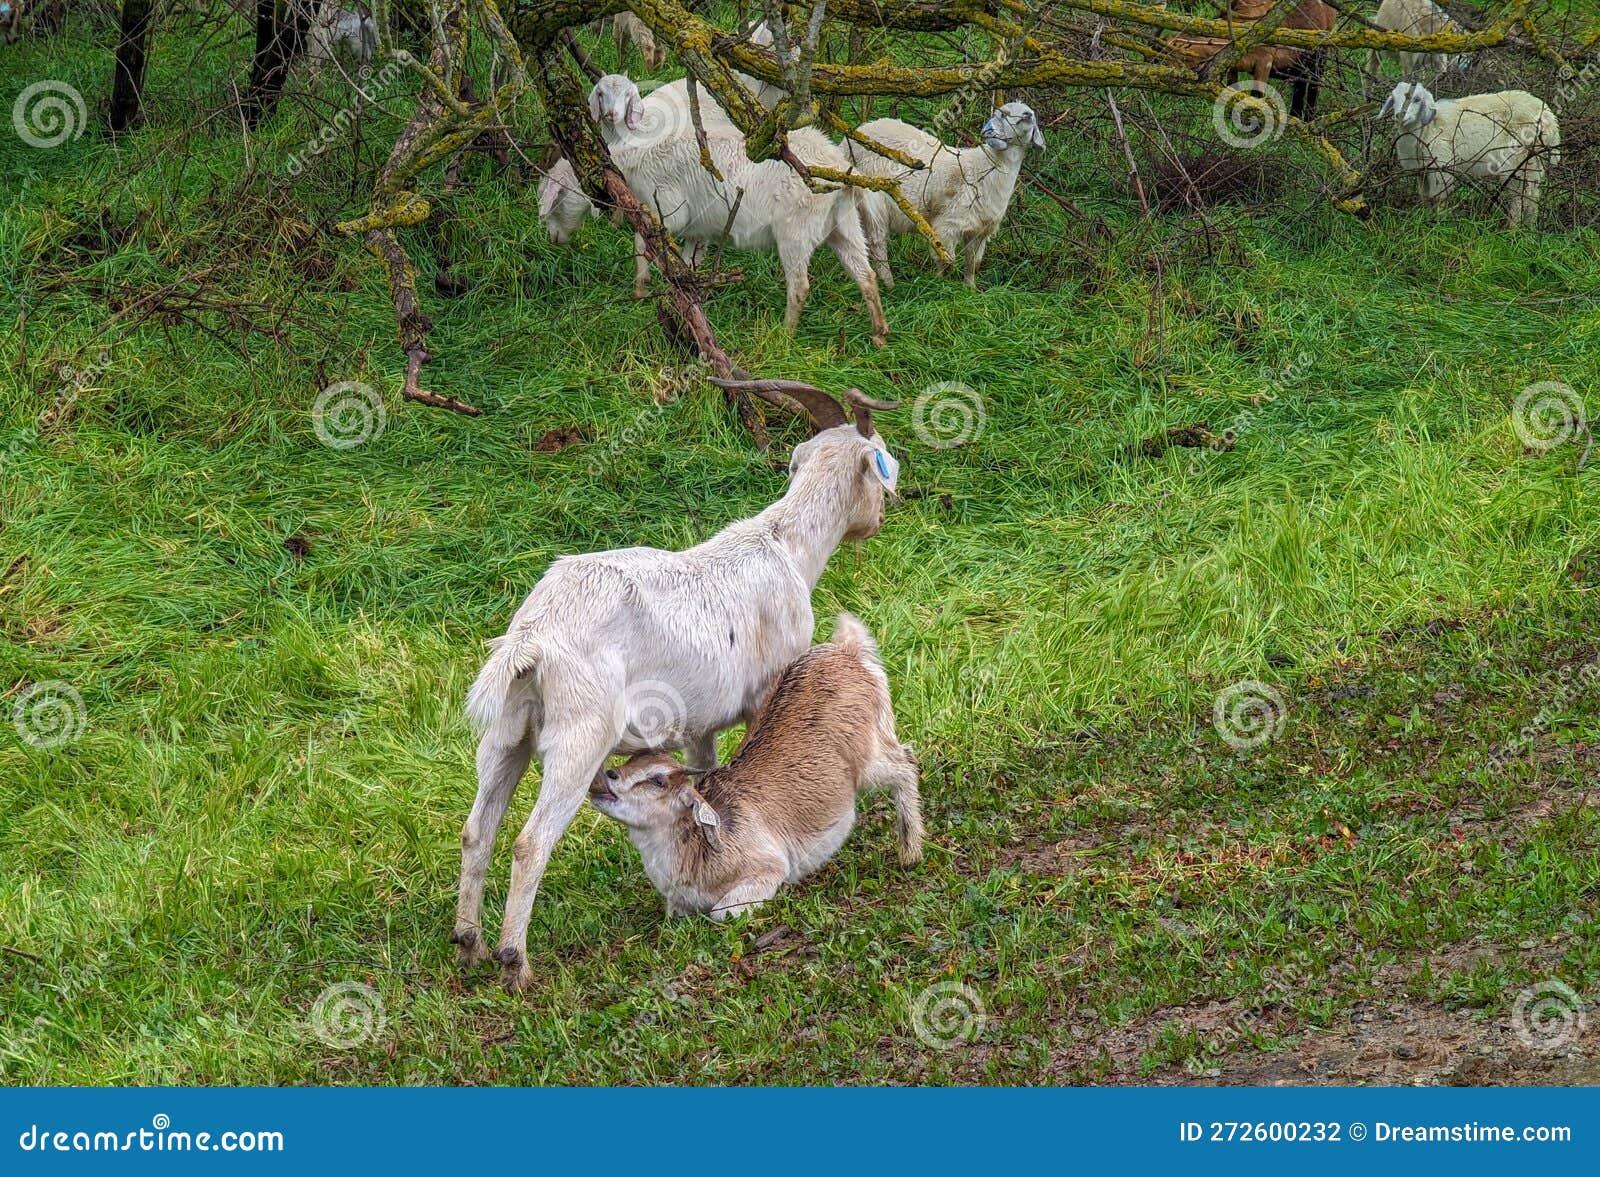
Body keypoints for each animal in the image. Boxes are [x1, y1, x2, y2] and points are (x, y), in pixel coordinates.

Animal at [592, 614, 923, 919]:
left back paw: (910, 854)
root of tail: (847, 649)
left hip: (867, 757)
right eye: (632, 761)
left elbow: (722, 913)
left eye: (658, 780)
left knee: (905, 763)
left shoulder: (767, 868)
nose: (610, 775)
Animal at [844, 103, 1044, 289]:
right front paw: (939, 286)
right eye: (1002, 114)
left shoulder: (980, 231)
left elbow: (973, 264)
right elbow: (947, 262)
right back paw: (889, 284)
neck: (984, 169)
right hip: (874, 200)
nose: (1027, 115)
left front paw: (971, 289)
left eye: (1029, 114)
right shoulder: (947, 225)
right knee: (877, 243)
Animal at [1377, 81, 1560, 228]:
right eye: (1393, 99)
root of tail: (1550, 119)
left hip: (1518, 160)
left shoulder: (1441, 167)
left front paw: (1440, 223)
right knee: (1532, 196)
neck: (1427, 128)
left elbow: (1438, 198)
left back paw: (1513, 229)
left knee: (1520, 196)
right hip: (1534, 162)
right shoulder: (1422, 171)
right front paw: (1426, 218)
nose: (1400, 116)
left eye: (1416, 99)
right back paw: (1528, 228)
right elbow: (1425, 197)